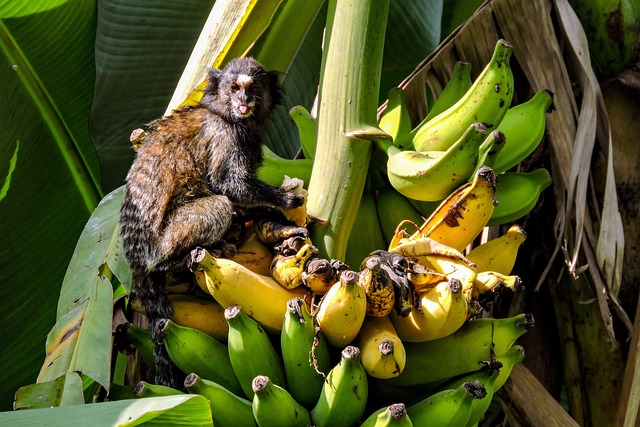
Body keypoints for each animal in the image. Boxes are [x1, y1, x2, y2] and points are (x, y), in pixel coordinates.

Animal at [120, 56, 304, 388]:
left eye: (252, 88)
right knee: (218, 206)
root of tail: (136, 258)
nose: (243, 101)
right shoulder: (224, 136)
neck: (227, 116)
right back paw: (185, 258)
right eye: (233, 88)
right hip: (167, 239)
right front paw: (283, 200)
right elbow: (229, 185)